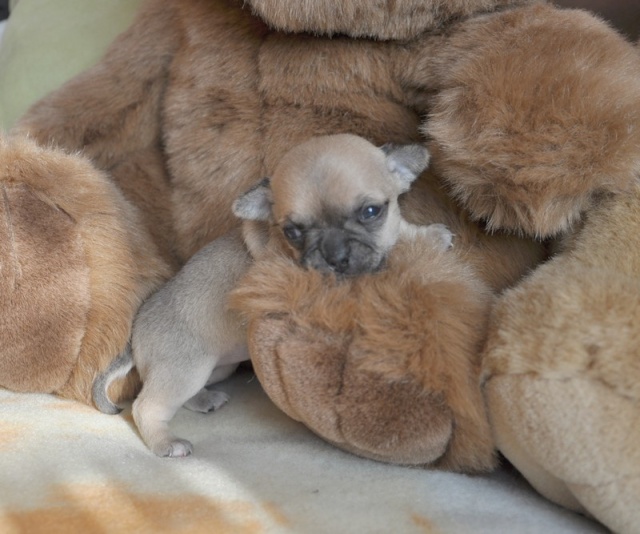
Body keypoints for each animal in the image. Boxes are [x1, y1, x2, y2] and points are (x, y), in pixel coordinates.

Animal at [91, 133, 450, 456]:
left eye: (372, 212)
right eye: (293, 232)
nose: (334, 255)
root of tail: (138, 328)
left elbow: (399, 231)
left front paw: (427, 234)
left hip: (214, 367)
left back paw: (204, 400)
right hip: (186, 368)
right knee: (146, 406)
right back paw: (166, 442)